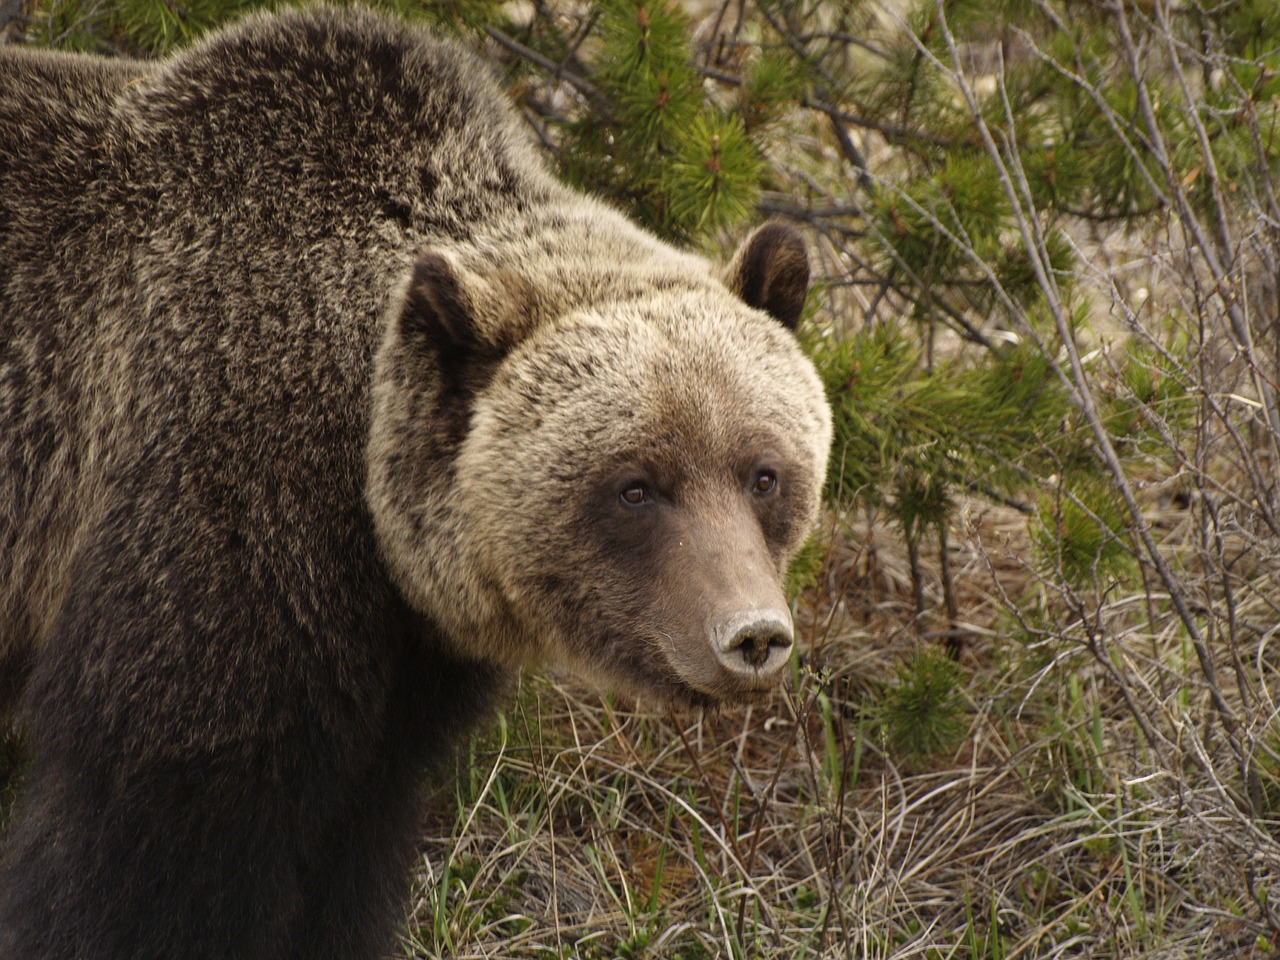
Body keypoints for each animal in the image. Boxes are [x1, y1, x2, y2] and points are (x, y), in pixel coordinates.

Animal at [0, 7, 829, 960]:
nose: (752, 636)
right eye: (635, 486)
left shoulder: (396, 663)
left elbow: (347, 848)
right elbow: (153, 843)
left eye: (764, 473)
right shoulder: (213, 519)